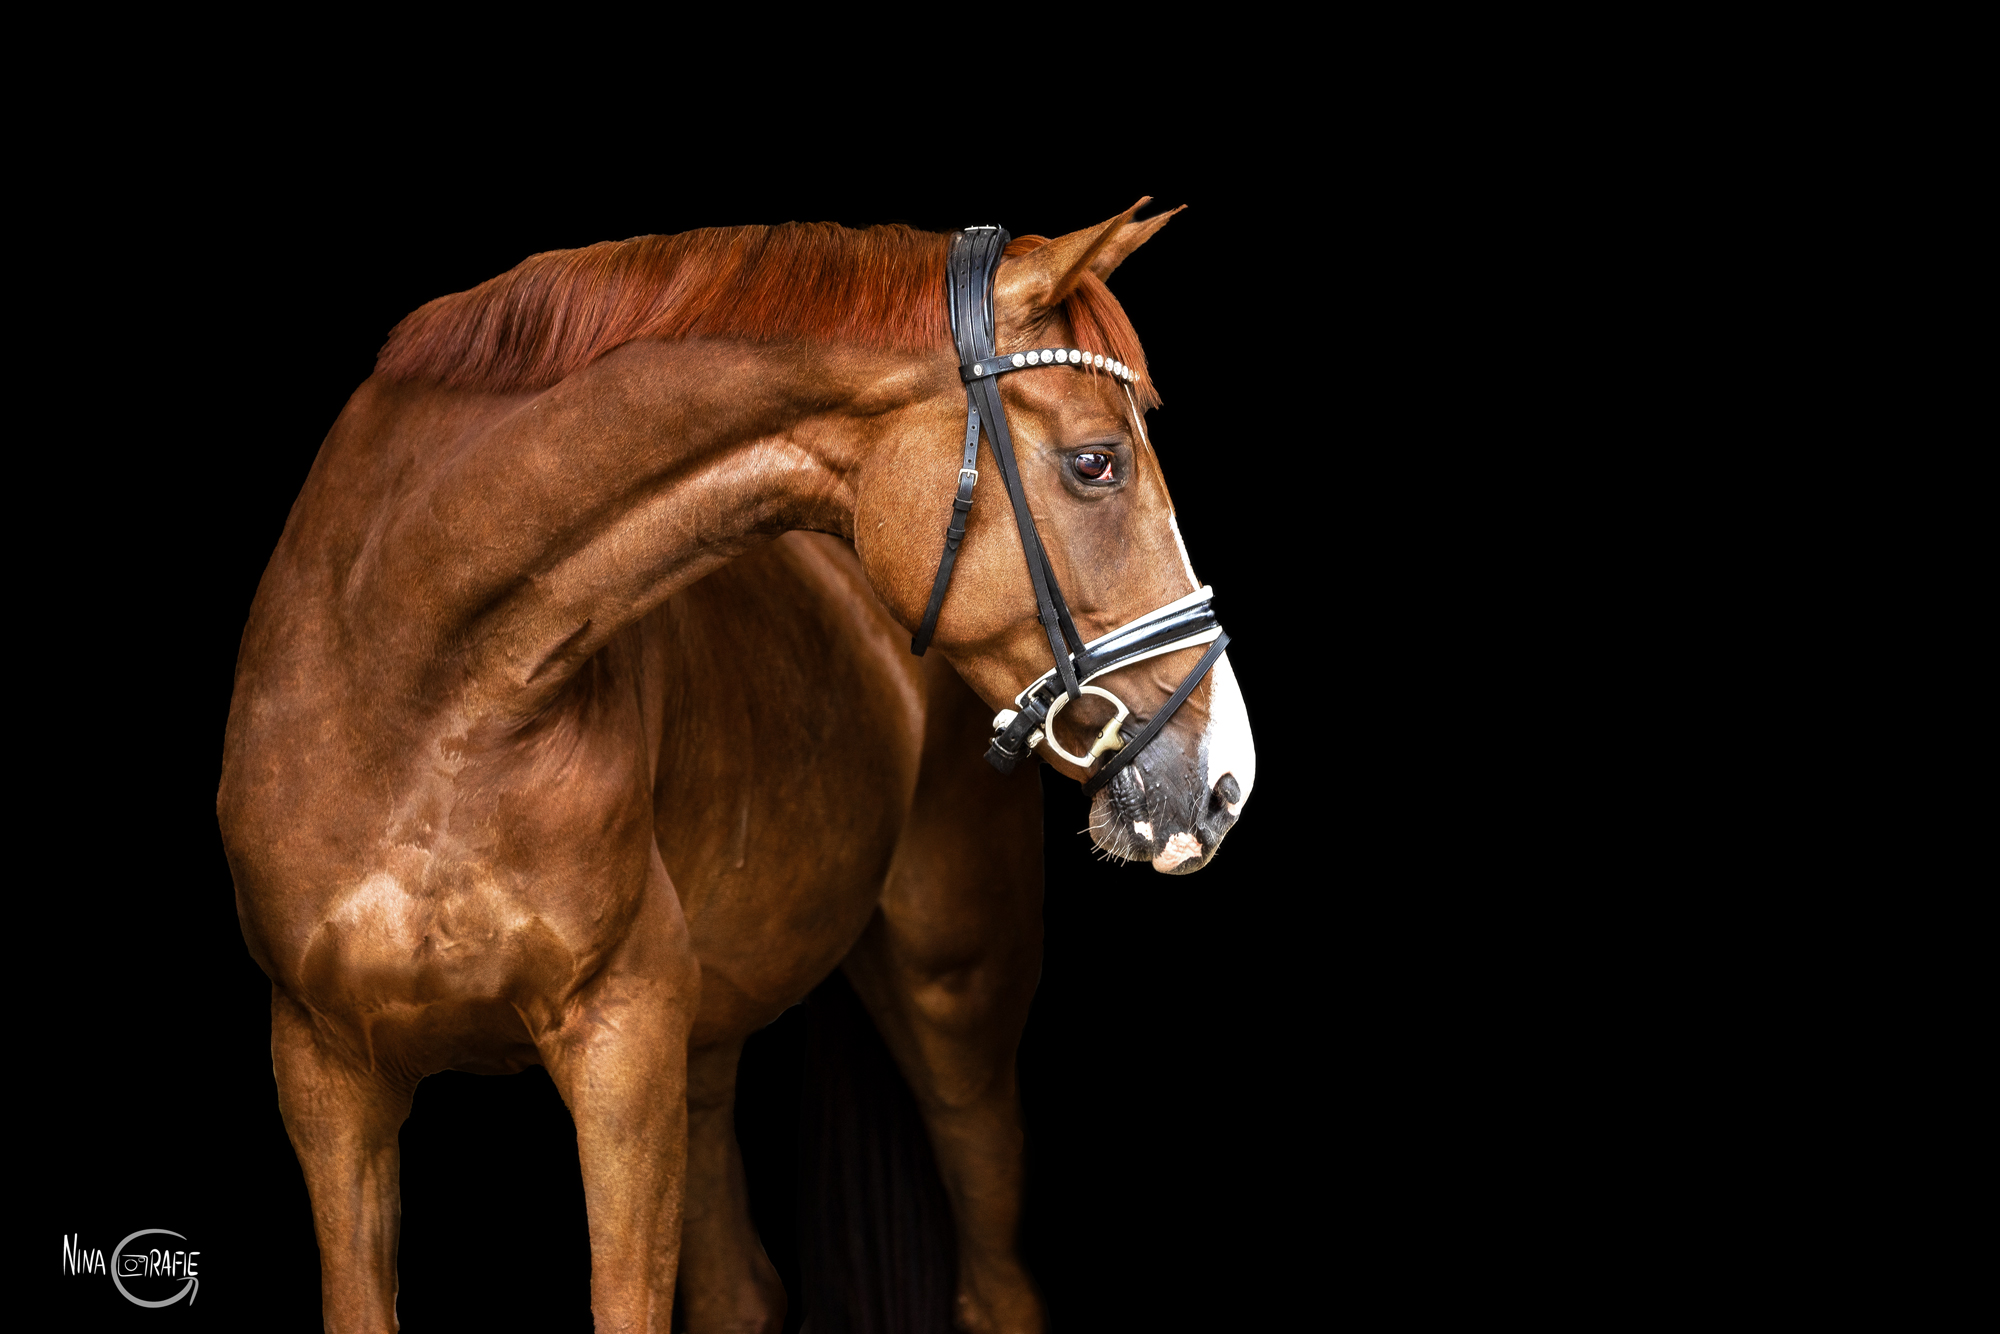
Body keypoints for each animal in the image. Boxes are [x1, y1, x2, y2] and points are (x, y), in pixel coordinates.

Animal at [217, 199, 1256, 1334]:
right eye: (1095, 462)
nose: (1224, 780)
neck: (419, 685)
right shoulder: (325, 1067)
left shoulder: (620, 1048)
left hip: (956, 996)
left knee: (997, 1283)